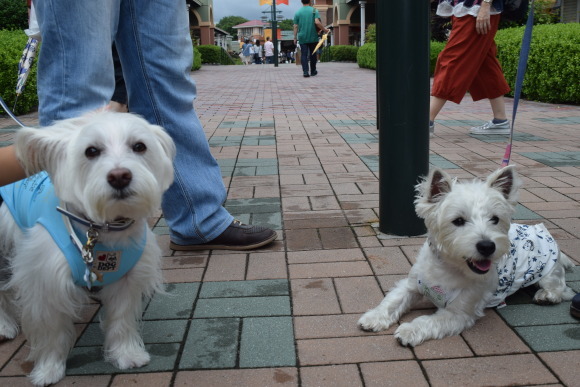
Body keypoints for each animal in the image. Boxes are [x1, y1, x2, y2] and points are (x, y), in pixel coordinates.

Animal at [0, 112, 176, 384]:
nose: (119, 176)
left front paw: (126, 354)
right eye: (91, 151)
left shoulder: (127, 280)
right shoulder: (45, 282)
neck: (102, 230)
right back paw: (4, 326)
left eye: (139, 146)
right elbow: (51, 331)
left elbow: (121, 319)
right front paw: (48, 370)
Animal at [358, 167, 576, 348]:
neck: (448, 268)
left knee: (561, 288)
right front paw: (373, 318)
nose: (487, 246)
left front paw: (409, 330)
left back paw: (546, 296)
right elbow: (392, 300)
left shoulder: (459, 312)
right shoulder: (411, 285)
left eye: (495, 219)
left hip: (547, 270)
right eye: (458, 220)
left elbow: (429, 320)